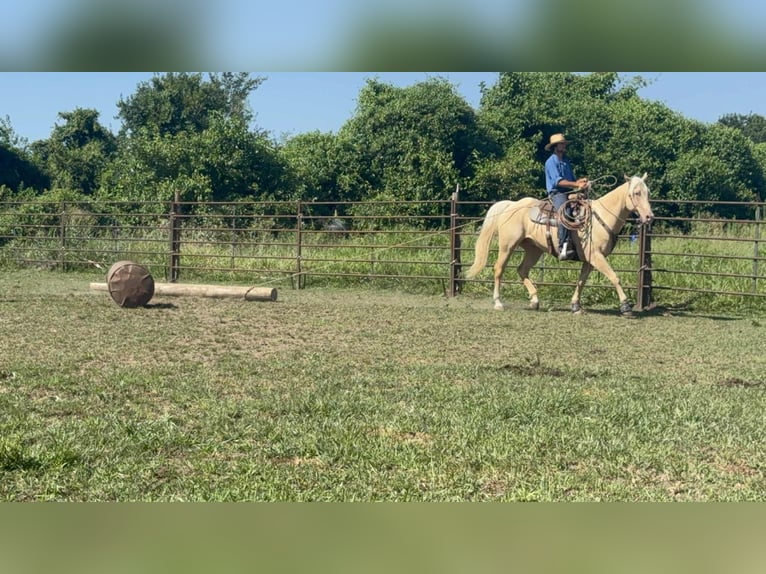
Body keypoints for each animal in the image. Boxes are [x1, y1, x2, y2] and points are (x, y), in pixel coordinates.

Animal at [464, 174, 654, 315]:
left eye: (648, 192)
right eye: (636, 193)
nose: (649, 217)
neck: (600, 217)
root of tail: (511, 205)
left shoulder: (589, 260)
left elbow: (581, 281)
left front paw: (576, 306)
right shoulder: (596, 257)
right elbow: (615, 277)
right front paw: (625, 306)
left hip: (534, 249)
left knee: (522, 270)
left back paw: (535, 300)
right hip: (507, 246)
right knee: (499, 269)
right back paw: (498, 303)